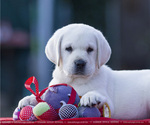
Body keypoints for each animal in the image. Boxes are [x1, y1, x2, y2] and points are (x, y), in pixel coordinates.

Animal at [18, 23, 150, 120]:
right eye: (68, 48)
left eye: (90, 49)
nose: (80, 63)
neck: (76, 81)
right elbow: (42, 95)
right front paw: (29, 99)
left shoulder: (109, 104)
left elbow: (99, 95)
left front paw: (91, 96)